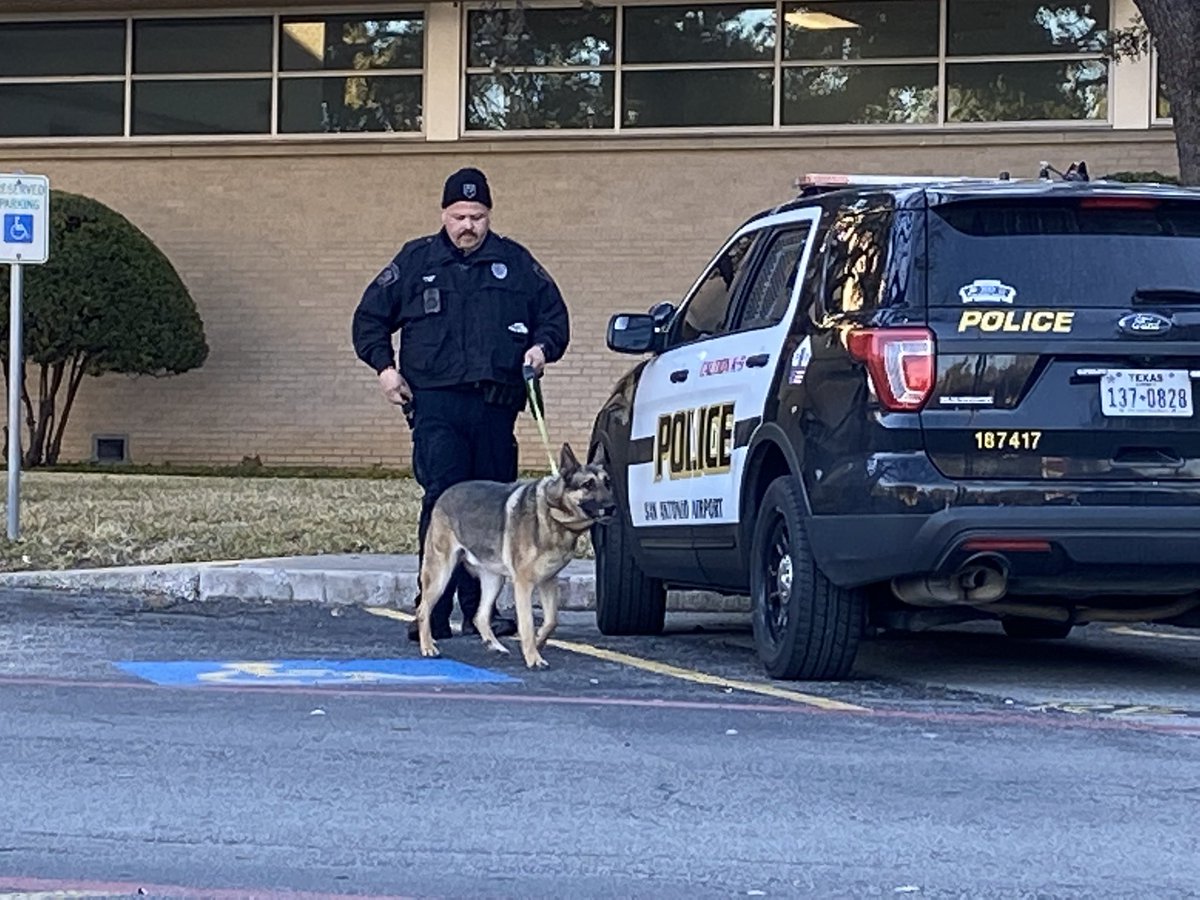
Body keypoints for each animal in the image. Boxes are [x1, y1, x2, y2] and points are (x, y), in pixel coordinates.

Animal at [415, 444, 619, 672]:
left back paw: (495, 645)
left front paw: (539, 642)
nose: (612, 507)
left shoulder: (548, 581)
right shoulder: (523, 585)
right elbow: (527, 624)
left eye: (607, 483)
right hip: (441, 574)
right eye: (588, 485)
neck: (554, 513)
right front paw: (533, 657)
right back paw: (427, 646)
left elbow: (551, 620)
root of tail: (446, 493)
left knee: (480, 616)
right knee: (423, 610)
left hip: (494, 580)